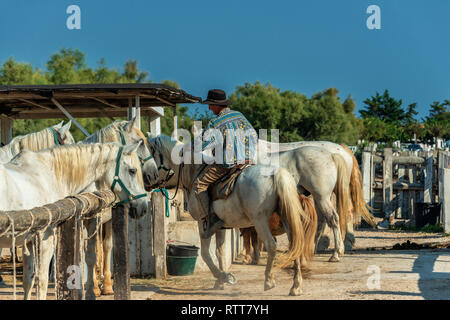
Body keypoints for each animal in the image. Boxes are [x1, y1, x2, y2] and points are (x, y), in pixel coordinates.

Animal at [0, 142, 149, 300]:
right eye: (132, 171)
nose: (144, 207)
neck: (49, 174)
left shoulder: (28, 241)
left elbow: (28, 280)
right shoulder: (45, 240)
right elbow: (42, 281)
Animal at [80, 119, 159, 298]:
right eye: (140, 142)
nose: (154, 175)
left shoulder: (107, 220)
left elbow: (107, 246)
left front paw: (107, 286)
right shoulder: (93, 220)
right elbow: (94, 250)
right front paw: (94, 287)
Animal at [148, 134, 316, 296]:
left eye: (152, 153)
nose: (148, 179)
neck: (194, 170)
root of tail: (276, 174)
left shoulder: (203, 223)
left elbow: (205, 254)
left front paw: (223, 277)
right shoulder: (220, 226)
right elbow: (220, 252)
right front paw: (221, 281)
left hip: (260, 221)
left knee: (271, 245)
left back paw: (269, 281)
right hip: (287, 219)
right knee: (295, 247)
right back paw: (296, 287)